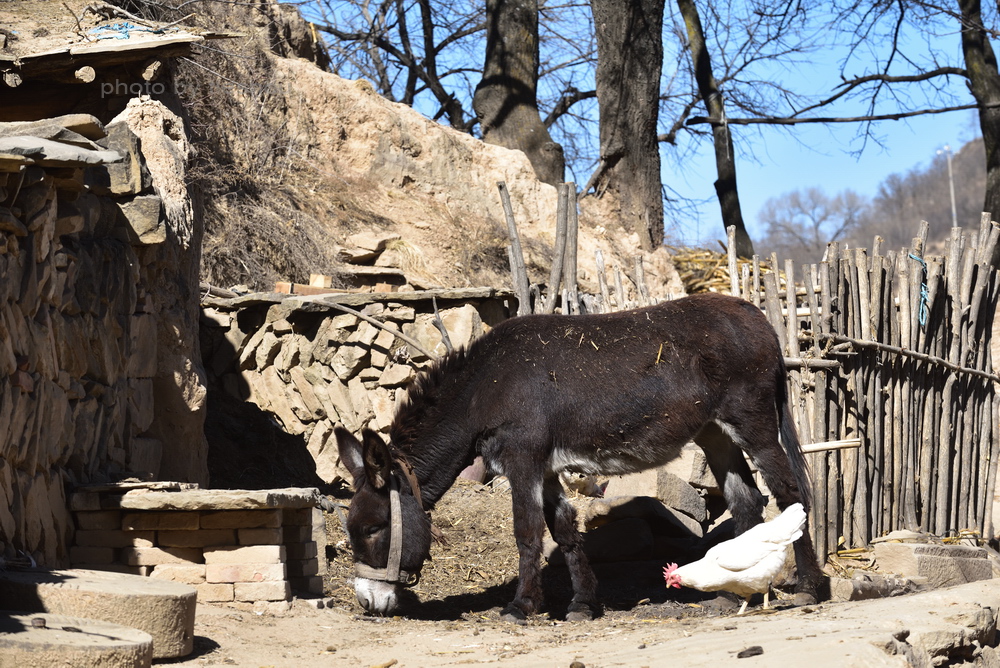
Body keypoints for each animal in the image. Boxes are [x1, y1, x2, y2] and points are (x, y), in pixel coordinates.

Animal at [335, 292, 824, 621]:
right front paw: (583, 604)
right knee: (746, 501)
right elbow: (564, 531)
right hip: (714, 433)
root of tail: (756, 313)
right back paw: (729, 596)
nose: (367, 602)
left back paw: (810, 590)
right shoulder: (546, 468)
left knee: (789, 493)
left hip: (752, 421)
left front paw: (521, 606)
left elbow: (527, 532)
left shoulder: (523, 460)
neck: (480, 391)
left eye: (374, 528)